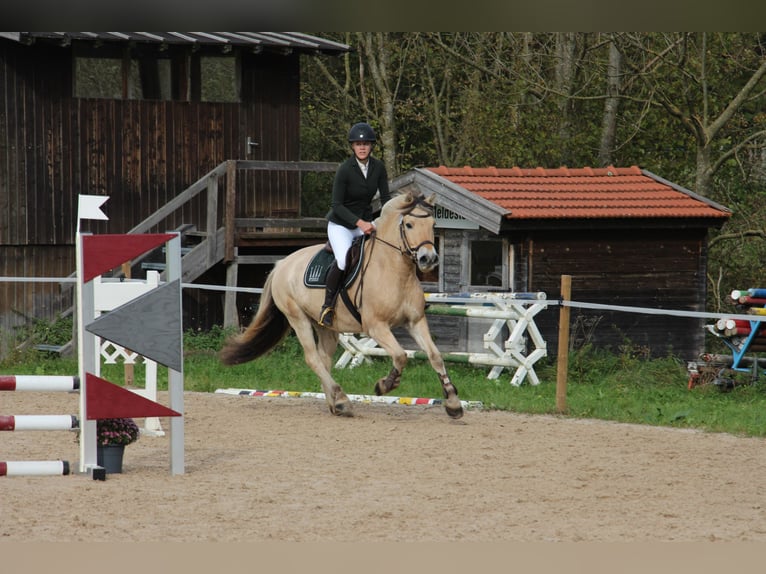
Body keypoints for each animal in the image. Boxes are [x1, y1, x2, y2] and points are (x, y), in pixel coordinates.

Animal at [219, 190, 463, 419]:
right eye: (409, 224)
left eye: (433, 225)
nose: (428, 259)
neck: (395, 270)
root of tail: (282, 264)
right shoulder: (376, 326)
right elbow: (401, 355)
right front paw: (384, 385)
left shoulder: (415, 321)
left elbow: (435, 356)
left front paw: (453, 403)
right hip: (297, 318)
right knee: (312, 358)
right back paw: (342, 399)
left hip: (325, 327)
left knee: (324, 359)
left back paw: (335, 403)